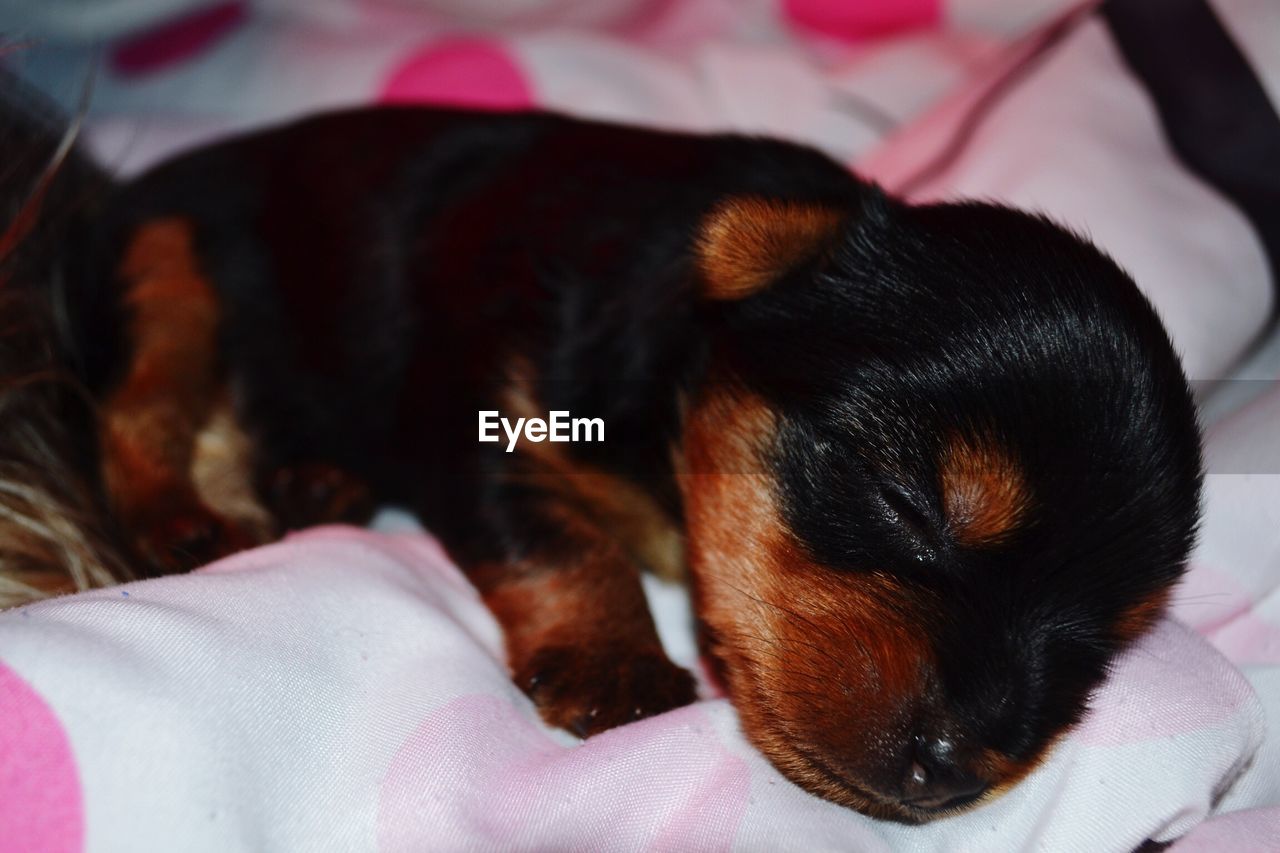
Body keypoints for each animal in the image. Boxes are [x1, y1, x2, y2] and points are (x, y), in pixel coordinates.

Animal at [77, 106, 1198, 819]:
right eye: (905, 502)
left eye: (1103, 640)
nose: (957, 766)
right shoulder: (480, 420)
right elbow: (563, 545)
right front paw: (615, 663)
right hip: (168, 263)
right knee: (139, 409)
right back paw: (181, 518)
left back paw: (312, 481)